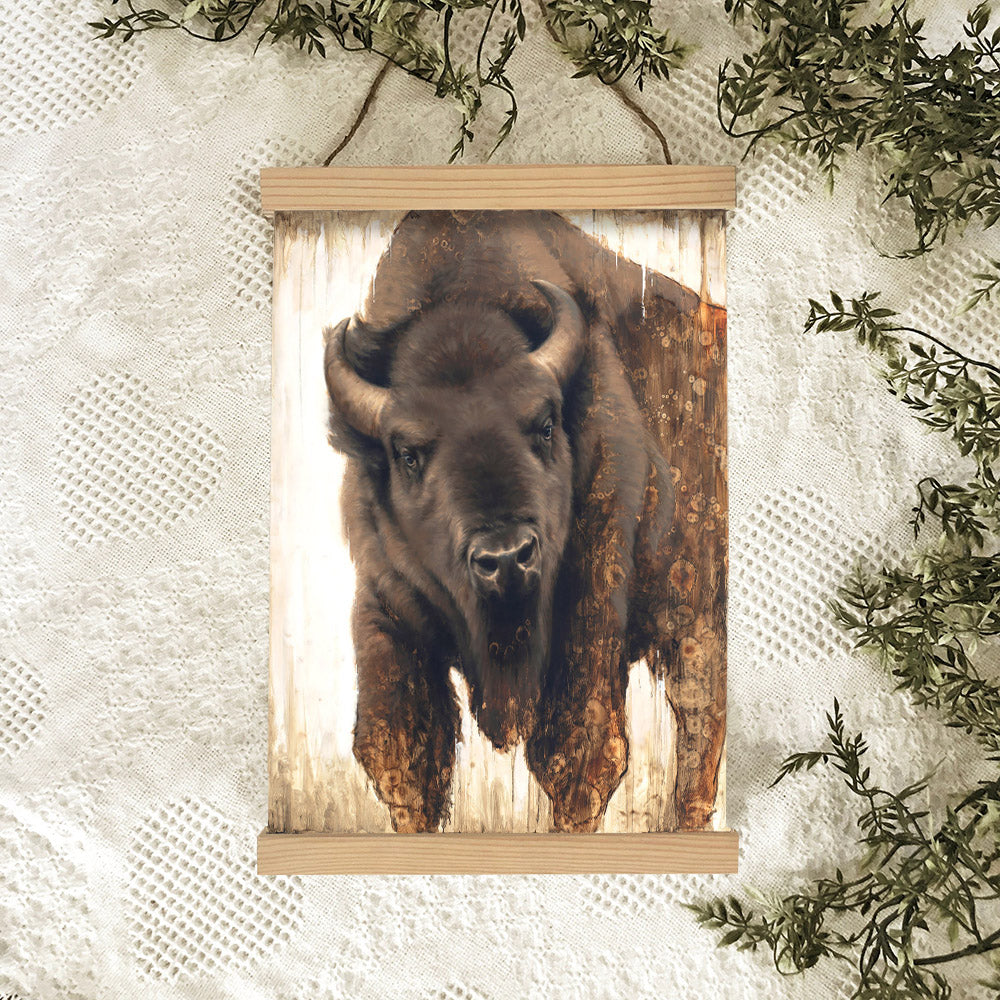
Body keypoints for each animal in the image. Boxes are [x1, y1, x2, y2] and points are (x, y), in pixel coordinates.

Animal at [324, 210, 727, 833]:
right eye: (407, 454)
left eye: (544, 424)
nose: (507, 558)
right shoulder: (387, 602)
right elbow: (401, 757)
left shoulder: (589, 606)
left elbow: (580, 754)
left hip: (698, 611)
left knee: (697, 715)